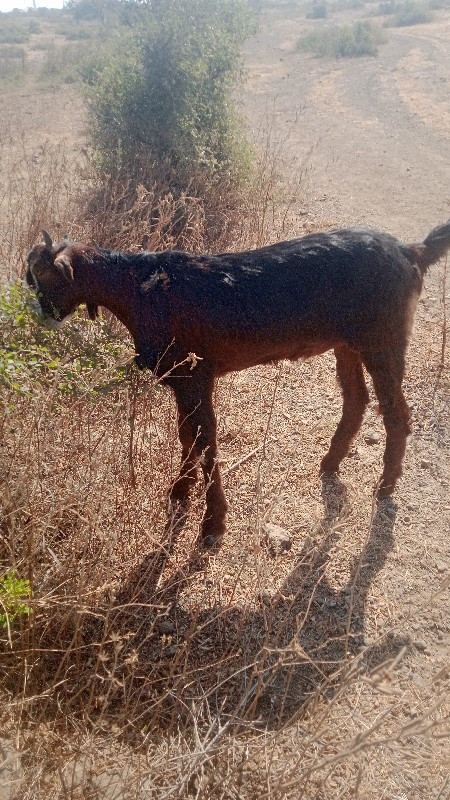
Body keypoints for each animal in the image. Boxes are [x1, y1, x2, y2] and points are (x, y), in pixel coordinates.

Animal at [25, 223, 450, 552]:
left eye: (42, 278)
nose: (39, 316)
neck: (141, 288)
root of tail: (409, 250)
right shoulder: (183, 382)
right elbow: (188, 436)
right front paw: (180, 491)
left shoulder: (196, 376)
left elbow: (205, 441)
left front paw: (213, 523)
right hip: (347, 342)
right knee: (356, 400)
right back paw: (331, 463)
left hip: (383, 339)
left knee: (397, 413)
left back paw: (387, 483)